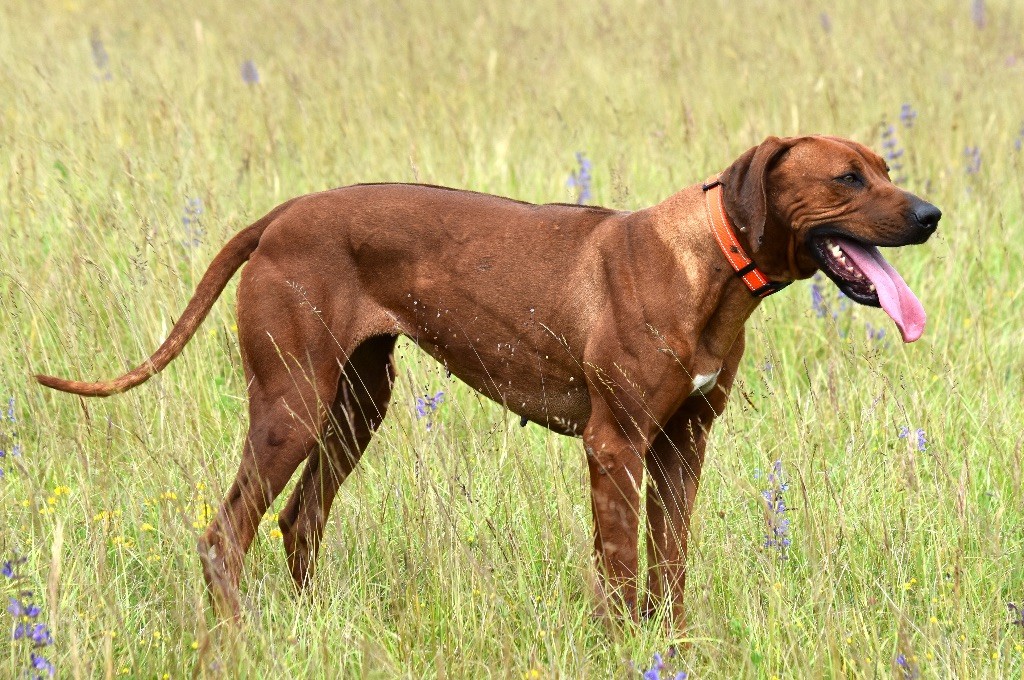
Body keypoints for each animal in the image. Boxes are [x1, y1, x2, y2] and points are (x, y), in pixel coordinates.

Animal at [36, 135, 937, 622]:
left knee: (300, 519)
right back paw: (242, 639)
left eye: (884, 166)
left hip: (356, 407)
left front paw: (676, 646)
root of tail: (282, 213)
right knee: (225, 534)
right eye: (848, 178)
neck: (710, 264)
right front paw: (625, 648)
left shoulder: (683, 448)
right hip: (291, 407)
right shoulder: (615, 446)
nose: (931, 214)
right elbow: (621, 572)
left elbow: (669, 567)